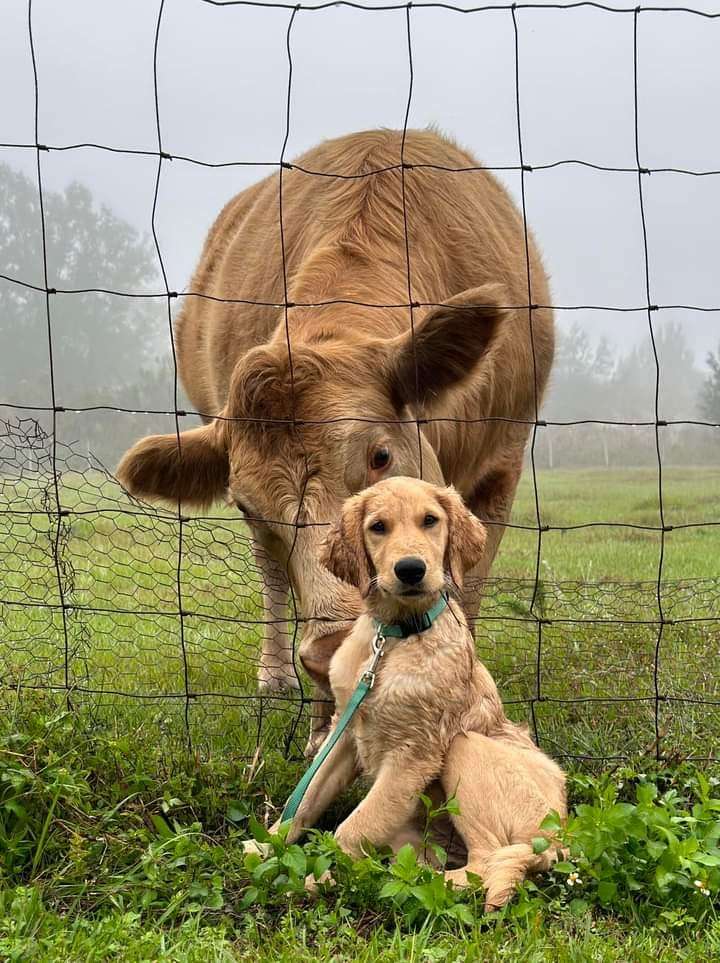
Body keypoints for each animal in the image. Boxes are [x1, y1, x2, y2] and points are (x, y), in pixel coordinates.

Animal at [115, 128, 556, 756]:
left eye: (380, 456)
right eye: (247, 502)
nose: (332, 646)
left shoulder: (501, 468)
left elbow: (466, 594)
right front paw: (327, 727)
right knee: (273, 579)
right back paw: (274, 676)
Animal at [268, 480, 564, 912]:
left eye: (430, 521)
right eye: (378, 527)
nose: (410, 569)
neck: (394, 638)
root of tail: (559, 841)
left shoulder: (413, 755)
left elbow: (352, 828)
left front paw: (319, 877)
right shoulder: (347, 734)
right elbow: (307, 798)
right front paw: (266, 845)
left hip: (465, 748)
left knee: (486, 859)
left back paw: (419, 882)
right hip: (412, 831)